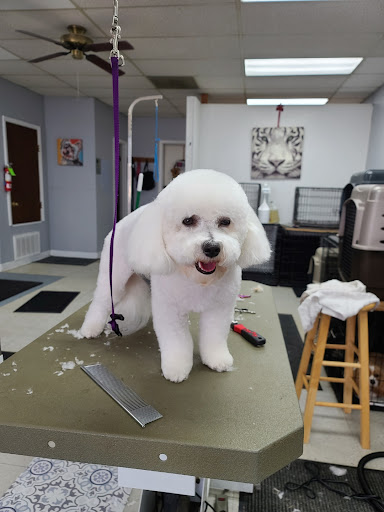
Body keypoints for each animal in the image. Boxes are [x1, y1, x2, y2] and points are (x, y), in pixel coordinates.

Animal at [81, 170, 270, 382]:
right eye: (188, 221)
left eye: (226, 222)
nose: (212, 248)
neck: (198, 279)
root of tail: (121, 223)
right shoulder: (170, 309)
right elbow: (176, 340)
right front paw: (177, 367)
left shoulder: (220, 308)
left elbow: (215, 335)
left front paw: (217, 359)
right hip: (114, 274)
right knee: (102, 300)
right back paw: (90, 328)